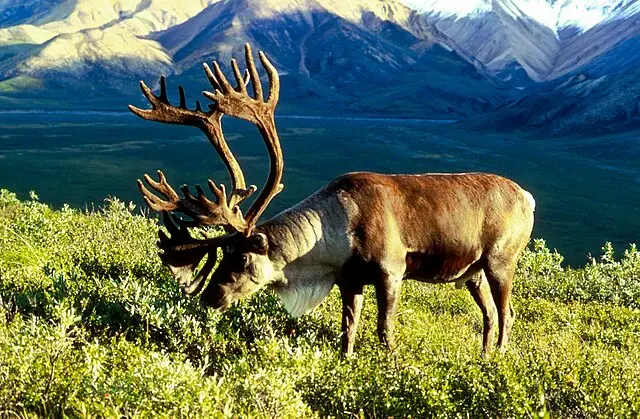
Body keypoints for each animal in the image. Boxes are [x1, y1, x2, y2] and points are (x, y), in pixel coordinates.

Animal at [129, 44, 535, 356]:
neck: (332, 238)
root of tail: (528, 196)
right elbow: (348, 329)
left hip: (500, 260)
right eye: (223, 254)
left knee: (507, 313)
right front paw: (346, 361)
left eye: (242, 258)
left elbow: (384, 330)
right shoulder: (349, 279)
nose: (210, 297)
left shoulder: (392, 270)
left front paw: (391, 367)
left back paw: (498, 360)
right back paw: (482, 358)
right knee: (489, 314)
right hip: (472, 272)